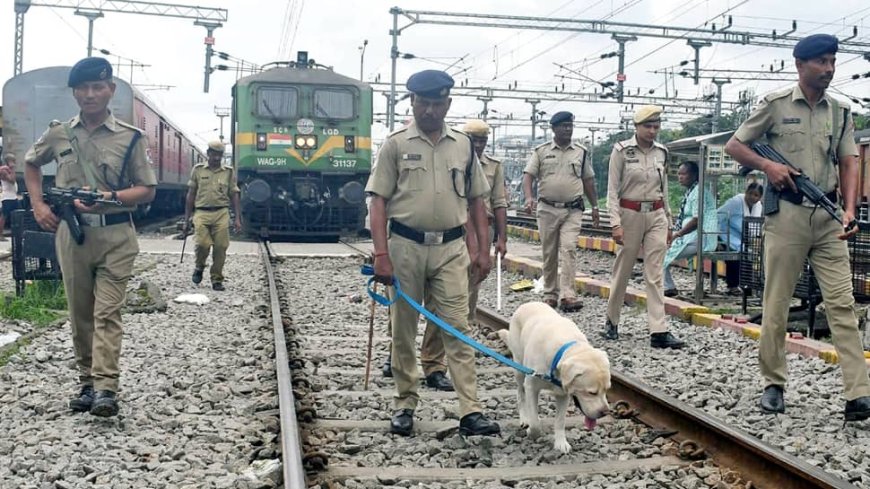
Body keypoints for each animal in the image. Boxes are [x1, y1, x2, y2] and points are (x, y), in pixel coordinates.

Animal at [498, 302, 612, 454]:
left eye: (607, 390)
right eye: (591, 392)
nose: (605, 412)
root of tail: (528, 303)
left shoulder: (564, 395)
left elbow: (560, 420)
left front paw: (561, 443)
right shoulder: (531, 386)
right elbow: (534, 423)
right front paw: (532, 431)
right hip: (519, 367)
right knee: (520, 394)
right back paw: (524, 418)